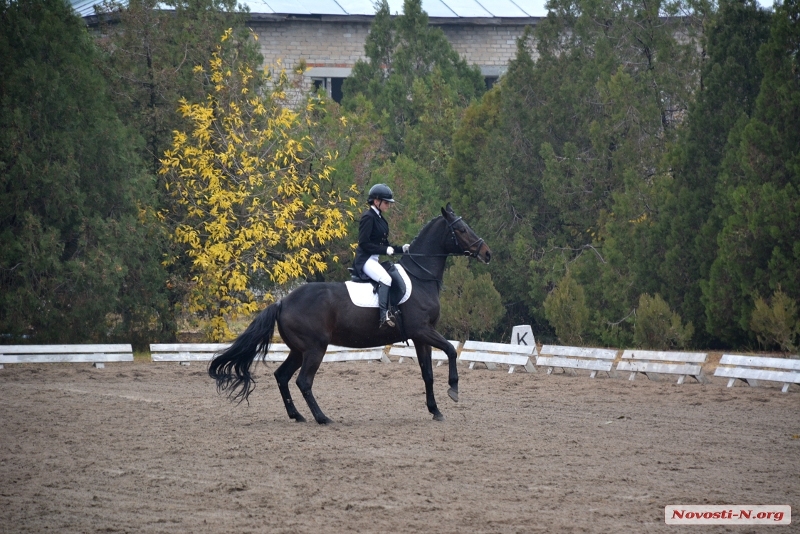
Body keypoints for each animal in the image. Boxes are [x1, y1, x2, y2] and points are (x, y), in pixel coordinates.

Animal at [206, 203, 490, 426]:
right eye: (461, 230)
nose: (486, 253)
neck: (420, 277)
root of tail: (283, 301)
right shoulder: (423, 330)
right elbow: (451, 351)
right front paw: (453, 389)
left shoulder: (421, 337)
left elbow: (427, 374)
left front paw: (435, 410)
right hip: (315, 348)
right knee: (303, 382)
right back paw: (322, 418)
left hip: (299, 350)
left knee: (282, 377)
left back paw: (297, 415)